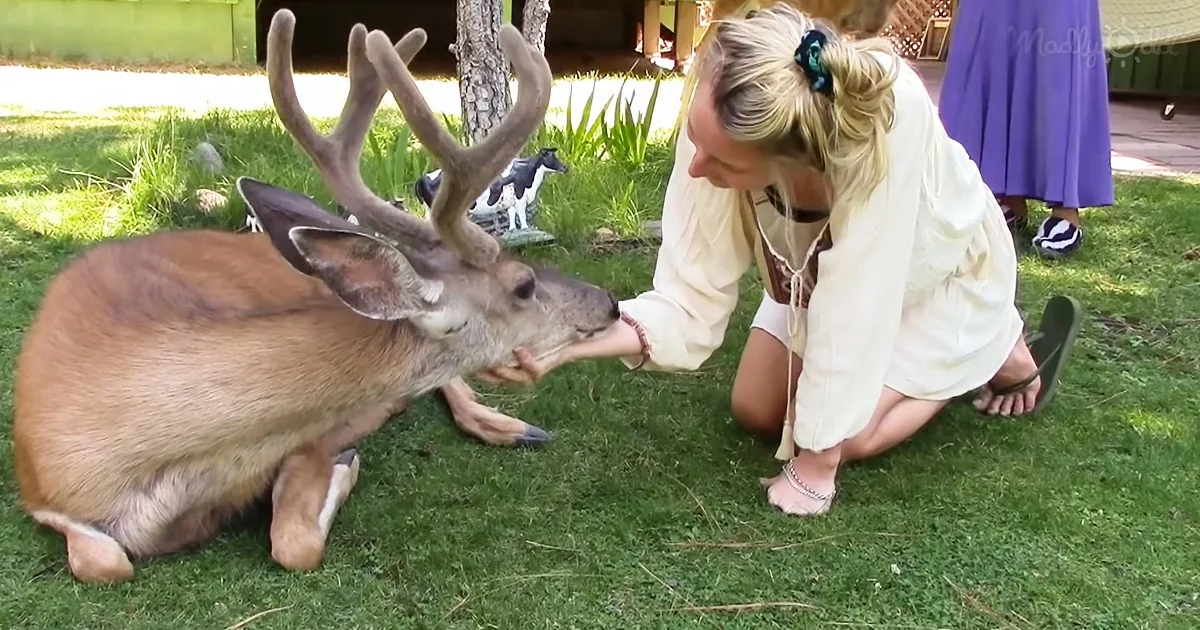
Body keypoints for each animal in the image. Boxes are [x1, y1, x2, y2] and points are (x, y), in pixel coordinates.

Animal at [11, 9, 621, 585]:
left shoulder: (305, 438)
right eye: (523, 285)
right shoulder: (40, 493)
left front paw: (344, 466)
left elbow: (294, 540)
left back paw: (513, 429)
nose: (609, 301)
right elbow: (105, 560)